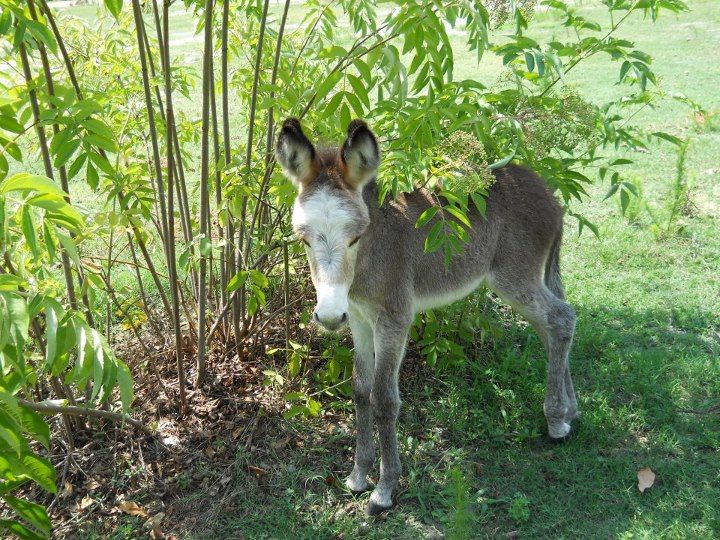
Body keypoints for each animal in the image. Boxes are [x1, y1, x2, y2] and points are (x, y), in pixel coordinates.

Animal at [276, 117, 580, 516]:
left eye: (356, 237)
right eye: (304, 240)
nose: (327, 317)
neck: (371, 255)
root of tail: (547, 192)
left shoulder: (394, 320)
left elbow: (383, 399)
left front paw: (384, 489)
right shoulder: (357, 318)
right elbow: (360, 389)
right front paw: (358, 475)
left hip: (514, 278)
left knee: (561, 319)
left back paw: (557, 420)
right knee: (552, 328)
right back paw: (570, 410)